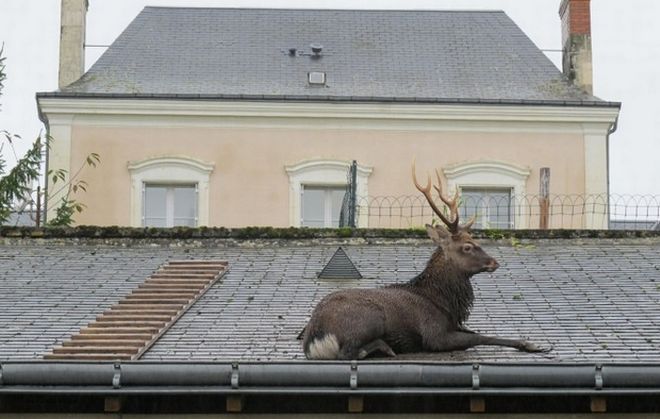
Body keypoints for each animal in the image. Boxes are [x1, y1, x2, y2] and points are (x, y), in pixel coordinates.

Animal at [300, 162, 548, 360]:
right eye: (467, 246)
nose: (494, 262)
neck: (446, 303)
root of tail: (314, 339)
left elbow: (476, 332)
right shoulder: (434, 335)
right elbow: (480, 338)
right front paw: (532, 344)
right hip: (370, 319)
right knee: (348, 352)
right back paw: (385, 347)